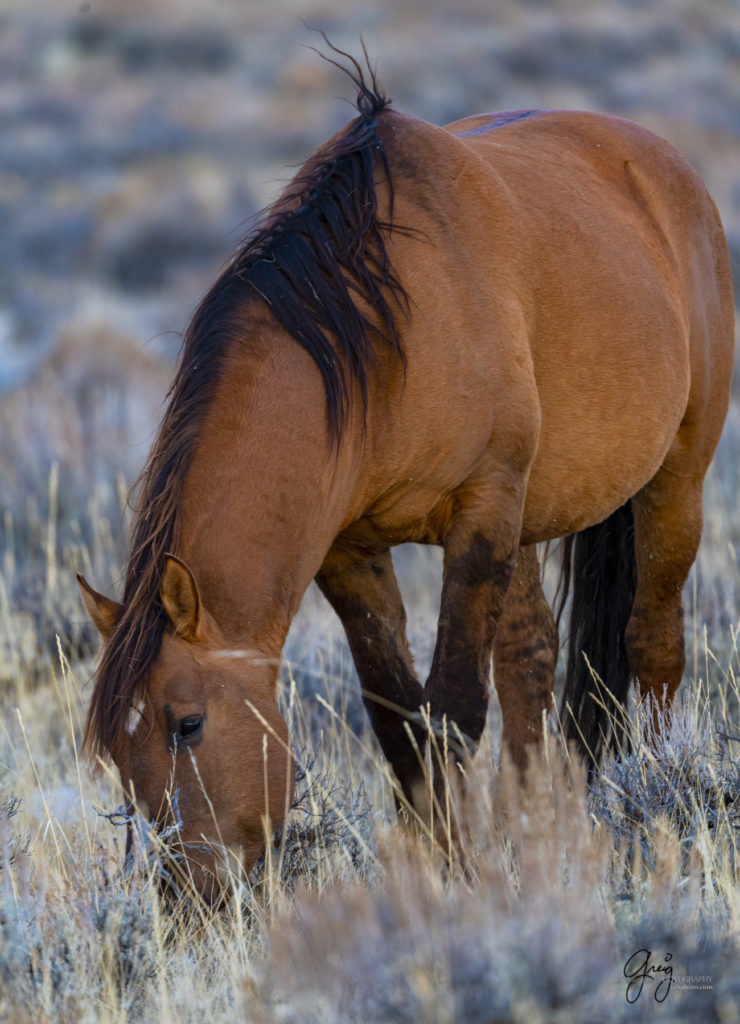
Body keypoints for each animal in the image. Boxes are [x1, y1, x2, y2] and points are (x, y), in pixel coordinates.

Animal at [78, 51, 736, 901]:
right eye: (113, 751)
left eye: (186, 723)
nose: (185, 897)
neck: (380, 342)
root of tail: (664, 165)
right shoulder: (353, 551)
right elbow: (401, 723)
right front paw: (444, 867)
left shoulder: (481, 512)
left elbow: (451, 712)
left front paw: (459, 882)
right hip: (534, 517)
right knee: (531, 661)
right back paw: (538, 836)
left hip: (676, 478)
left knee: (651, 645)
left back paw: (651, 795)